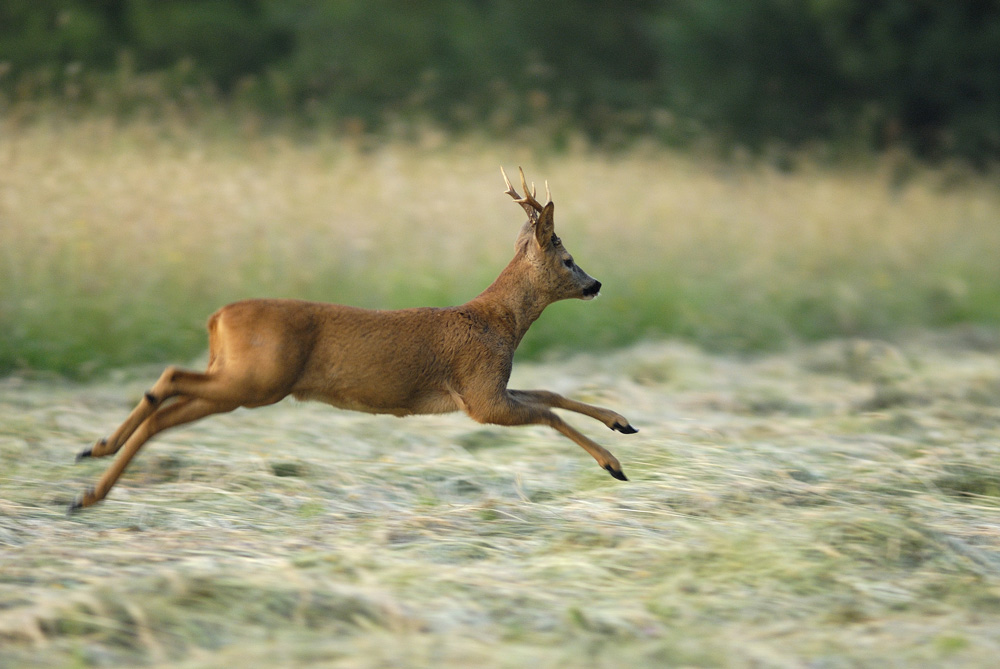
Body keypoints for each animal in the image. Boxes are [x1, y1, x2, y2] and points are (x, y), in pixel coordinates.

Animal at [70, 168, 636, 512]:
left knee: (167, 407)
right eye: (568, 259)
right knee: (168, 382)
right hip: (258, 380)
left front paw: (622, 421)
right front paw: (613, 463)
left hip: (240, 380)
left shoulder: (487, 386)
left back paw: (92, 468)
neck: (496, 323)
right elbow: (546, 411)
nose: (595, 284)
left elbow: (549, 394)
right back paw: (98, 466)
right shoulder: (479, 395)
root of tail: (216, 317)